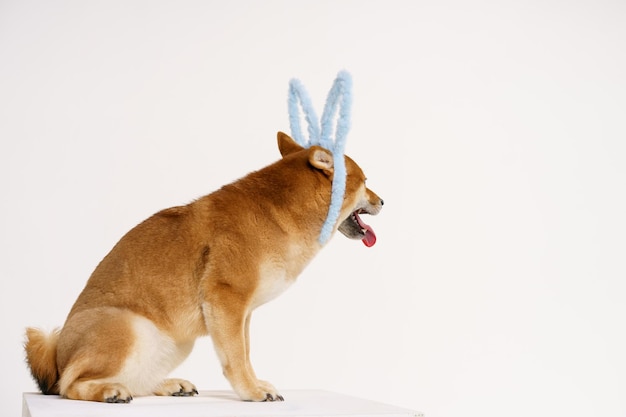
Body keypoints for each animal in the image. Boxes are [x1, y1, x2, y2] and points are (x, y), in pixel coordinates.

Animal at [24, 132, 380, 402]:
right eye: (365, 181)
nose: (383, 201)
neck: (282, 212)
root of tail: (57, 355)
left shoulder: (242, 313)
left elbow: (245, 353)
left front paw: (255, 384)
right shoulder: (227, 300)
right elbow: (236, 358)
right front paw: (251, 392)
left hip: (174, 342)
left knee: (135, 382)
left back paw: (167, 385)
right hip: (127, 326)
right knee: (69, 385)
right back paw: (108, 391)